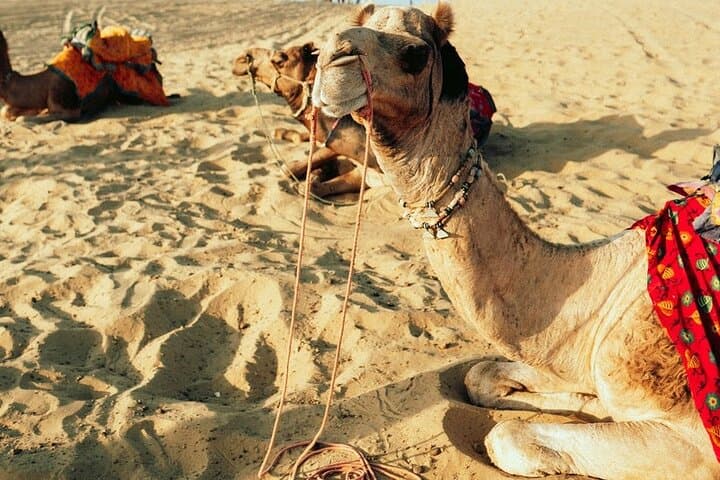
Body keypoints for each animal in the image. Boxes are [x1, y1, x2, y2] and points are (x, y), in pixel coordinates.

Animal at [233, 43, 383, 197]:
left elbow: (297, 176)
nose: (241, 59)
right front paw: (317, 172)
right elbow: (293, 169)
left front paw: (315, 175)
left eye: (279, 60)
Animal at [311, 3, 719, 479]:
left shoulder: (693, 439)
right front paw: (586, 404)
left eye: (414, 53)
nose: (330, 59)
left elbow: (506, 436)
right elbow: (482, 376)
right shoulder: (572, 355)